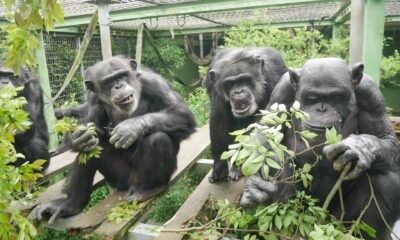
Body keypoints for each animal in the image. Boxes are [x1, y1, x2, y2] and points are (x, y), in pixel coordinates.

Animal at [36, 55, 195, 223]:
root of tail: (130, 185)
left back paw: (150, 189)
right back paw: (70, 204)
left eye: (122, 75)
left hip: (139, 178)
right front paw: (78, 138)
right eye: (108, 82)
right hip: (119, 179)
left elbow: (181, 112)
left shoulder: (155, 82)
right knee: (90, 150)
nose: (119, 86)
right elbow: (90, 124)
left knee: (158, 138)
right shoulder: (93, 97)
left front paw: (130, 128)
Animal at [205, 47, 286, 182]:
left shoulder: (274, 78)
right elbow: (219, 119)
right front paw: (220, 166)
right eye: (229, 84)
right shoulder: (216, 89)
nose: (239, 92)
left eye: (245, 80)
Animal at [241, 57, 400, 238]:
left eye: (336, 97)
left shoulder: (371, 94)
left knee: (384, 179)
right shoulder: (281, 90)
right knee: (278, 159)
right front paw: (254, 186)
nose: (322, 108)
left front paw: (359, 147)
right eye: (312, 98)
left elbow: (386, 137)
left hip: (337, 220)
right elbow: (267, 130)